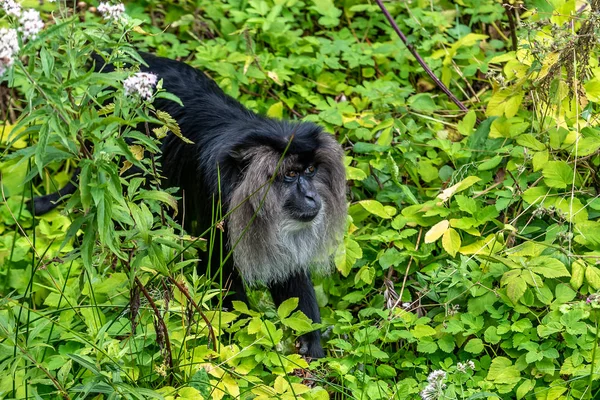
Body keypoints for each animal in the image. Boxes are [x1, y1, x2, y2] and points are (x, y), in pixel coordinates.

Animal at [32, 51, 350, 358]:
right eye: (291, 175)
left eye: (310, 171)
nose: (311, 197)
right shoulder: (218, 197)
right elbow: (219, 267)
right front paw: (236, 339)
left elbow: (289, 270)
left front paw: (310, 343)